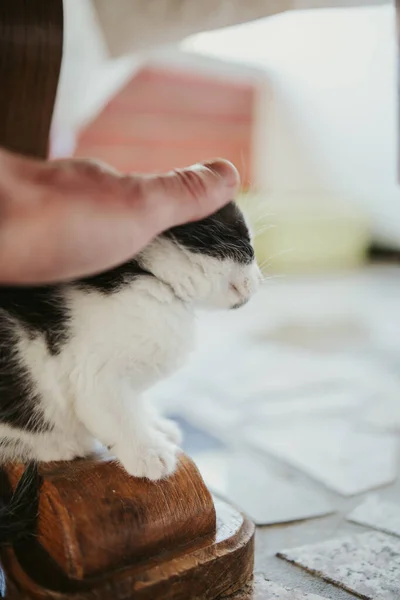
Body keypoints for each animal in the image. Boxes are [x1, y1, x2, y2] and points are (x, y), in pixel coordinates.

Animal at [0, 198, 260, 482]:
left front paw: (155, 425)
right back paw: (61, 445)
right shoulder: (95, 375)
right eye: (246, 240)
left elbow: (137, 404)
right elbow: (119, 415)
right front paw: (149, 452)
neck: (151, 277)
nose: (259, 281)